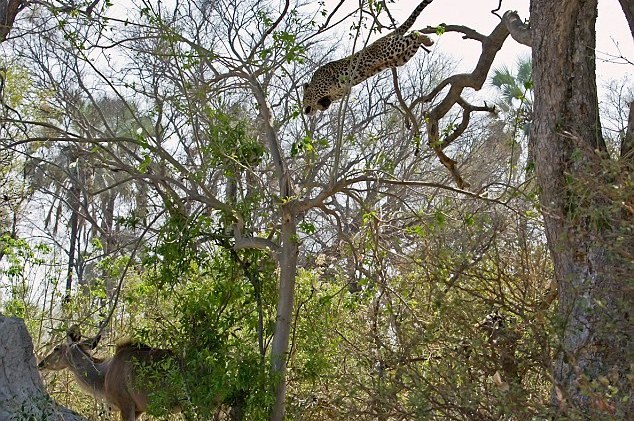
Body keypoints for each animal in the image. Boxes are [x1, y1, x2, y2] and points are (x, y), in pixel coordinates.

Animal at [302, 0, 434, 115]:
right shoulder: (340, 92)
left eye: (303, 99)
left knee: (413, 33)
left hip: (390, 48)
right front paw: (322, 106)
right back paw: (427, 40)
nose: (305, 112)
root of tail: (383, 37)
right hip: (400, 58)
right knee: (413, 40)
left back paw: (427, 39)